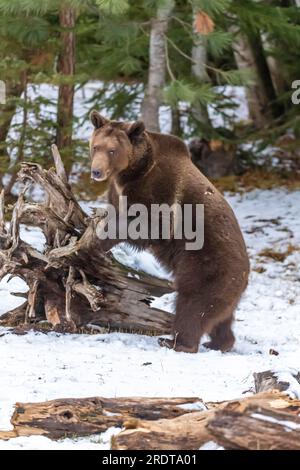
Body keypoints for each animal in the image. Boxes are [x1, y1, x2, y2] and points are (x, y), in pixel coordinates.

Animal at [89, 110, 251, 352]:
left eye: (112, 150)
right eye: (95, 146)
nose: (96, 171)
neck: (132, 172)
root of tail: (246, 273)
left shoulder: (160, 187)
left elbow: (154, 225)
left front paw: (100, 239)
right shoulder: (118, 191)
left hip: (208, 266)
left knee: (193, 305)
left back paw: (176, 342)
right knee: (220, 317)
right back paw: (219, 343)